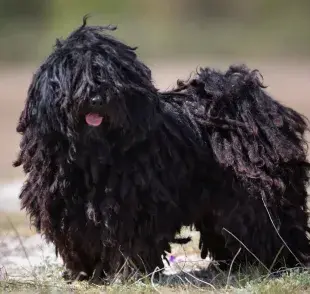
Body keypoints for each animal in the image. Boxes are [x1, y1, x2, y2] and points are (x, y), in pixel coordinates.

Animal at [15, 17, 310, 282]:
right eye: (75, 75)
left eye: (110, 77)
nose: (96, 98)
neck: (93, 158)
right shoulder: (67, 208)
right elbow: (77, 240)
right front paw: (85, 274)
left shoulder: (132, 206)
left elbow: (128, 242)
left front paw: (127, 275)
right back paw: (235, 264)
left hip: (257, 196)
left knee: (273, 225)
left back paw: (281, 262)